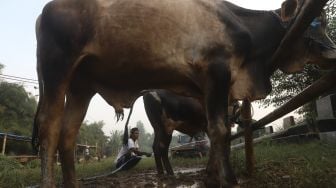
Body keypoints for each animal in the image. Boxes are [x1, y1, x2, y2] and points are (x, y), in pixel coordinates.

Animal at [32, 0, 334, 187]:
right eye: (315, 22)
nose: (332, 52)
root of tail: (43, 12)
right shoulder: (216, 72)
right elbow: (219, 130)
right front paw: (228, 179)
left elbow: (215, 133)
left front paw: (212, 176)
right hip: (58, 68)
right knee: (50, 130)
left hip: (82, 86)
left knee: (68, 135)